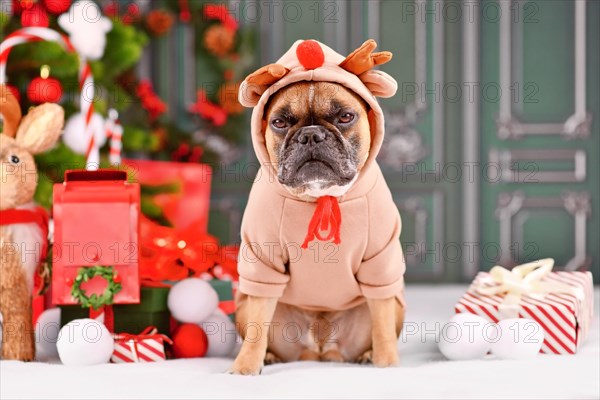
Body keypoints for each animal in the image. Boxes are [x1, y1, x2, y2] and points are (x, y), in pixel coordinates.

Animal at [232, 40, 406, 376]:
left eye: (345, 117)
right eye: (279, 122)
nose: (311, 135)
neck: (319, 196)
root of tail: (320, 352)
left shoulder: (380, 264)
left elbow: (381, 324)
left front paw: (388, 363)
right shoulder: (262, 263)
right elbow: (258, 325)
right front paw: (245, 366)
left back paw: (367, 355)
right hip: (244, 302)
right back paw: (269, 356)